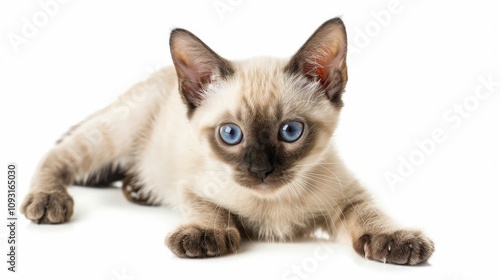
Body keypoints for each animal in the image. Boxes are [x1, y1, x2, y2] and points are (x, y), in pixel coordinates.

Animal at [20, 18, 434, 264]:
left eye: (290, 131)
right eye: (231, 134)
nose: (261, 170)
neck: (275, 202)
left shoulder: (348, 195)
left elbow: (372, 213)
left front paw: (396, 239)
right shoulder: (193, 186)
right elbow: (210, 210)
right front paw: (206, 235)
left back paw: (136, 189)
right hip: (113, 135)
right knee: (57, 154)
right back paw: (49, 200)